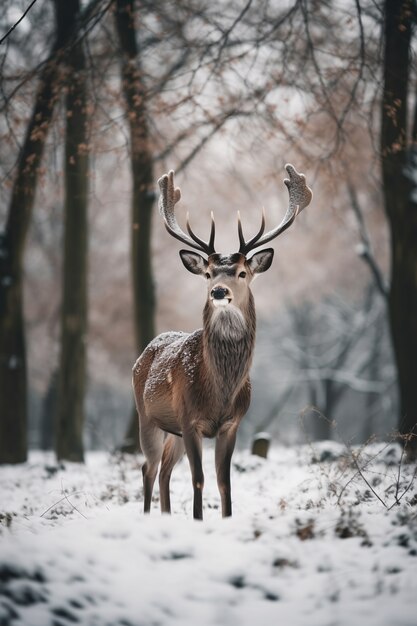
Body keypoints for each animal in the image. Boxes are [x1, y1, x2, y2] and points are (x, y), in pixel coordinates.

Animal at [132, 165, 310, 516]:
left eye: (242, 272)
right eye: (208, 273)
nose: (218, 291)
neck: (220, 391)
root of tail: (143, 353)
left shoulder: (232, 423)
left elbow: (224, 483)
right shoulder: (190, 420)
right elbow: (199, 480)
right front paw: (198, 520)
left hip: (171, 429)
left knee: (164, 470)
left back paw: (166, 516)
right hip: (146, 416)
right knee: (149, 467)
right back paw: (148, 516)